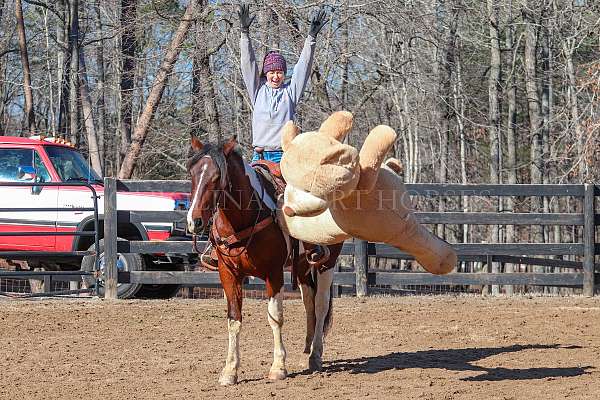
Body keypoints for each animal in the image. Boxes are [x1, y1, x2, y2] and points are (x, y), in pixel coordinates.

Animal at [186, 137, 342, 384]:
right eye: (191, 173)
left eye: (217, 177)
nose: (195, 221)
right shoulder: (228, 273)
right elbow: (234, 319)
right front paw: (229, 371)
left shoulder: (273, 273)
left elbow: (275, 317)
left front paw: (278, 367)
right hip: (303, 266)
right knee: (309, 302)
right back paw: (306, 353)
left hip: (327, 262)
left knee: (320, 304)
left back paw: (316, 354)